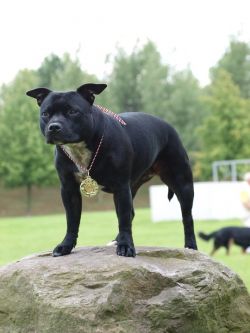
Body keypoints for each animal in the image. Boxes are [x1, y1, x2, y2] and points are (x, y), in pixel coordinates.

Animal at [25, 83, 197, 256]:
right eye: (45, 114)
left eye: (73, 111)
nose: (54, 127)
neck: (79, 148)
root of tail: (167, 125)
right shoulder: (69, 189)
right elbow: (72, 220)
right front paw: (66, 245)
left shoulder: (121, 186)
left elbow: (123, 219)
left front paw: (126, 246)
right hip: (131, 187)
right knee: (131, 212)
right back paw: (116, 240)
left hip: (182, 183)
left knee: (187, 216)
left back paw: (191, 246)